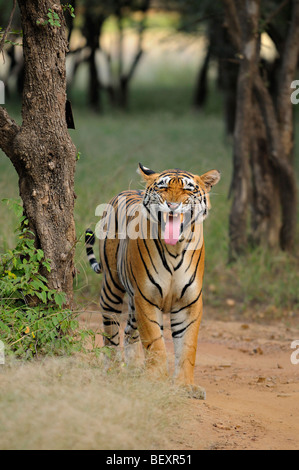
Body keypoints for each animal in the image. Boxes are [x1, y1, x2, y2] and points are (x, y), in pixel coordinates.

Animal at [85, 163, 221, 398]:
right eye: (163, 188)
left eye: (188, 190)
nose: (173, 206)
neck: (175, 248)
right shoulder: (146, 298)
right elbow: (155, 343)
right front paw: (156, 381)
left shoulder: (189, 303)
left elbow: (187, 347)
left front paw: (185, 385)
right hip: (112, 288)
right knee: (111, 331)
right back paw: (113, 370)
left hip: (132, 303)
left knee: (129, 332)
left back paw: (134, 369)